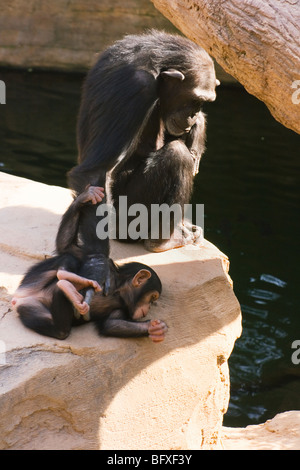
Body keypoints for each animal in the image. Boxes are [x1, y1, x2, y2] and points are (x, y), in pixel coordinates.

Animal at [12, 185, 166, 344]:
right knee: (68, 258)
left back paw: (67, 289)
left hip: (31, 309)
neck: (118, 289)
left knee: (60, 330)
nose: (149, 308)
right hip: (32, 281)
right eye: (153, 297)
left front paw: (153, 328)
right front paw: (85, 197)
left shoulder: (120, 309)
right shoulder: (90, 259)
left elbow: (112, 324)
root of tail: (19, 297)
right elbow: (68, 248)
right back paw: (71, 284)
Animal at [68, 29, 218, 253]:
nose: (193, 114)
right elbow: (95, 171)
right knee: (177, 155)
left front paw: (199, 126)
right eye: (195, 99)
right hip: (128, 221)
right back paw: (163, 241)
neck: (157, 69)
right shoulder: (136, 87)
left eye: (203, 102)